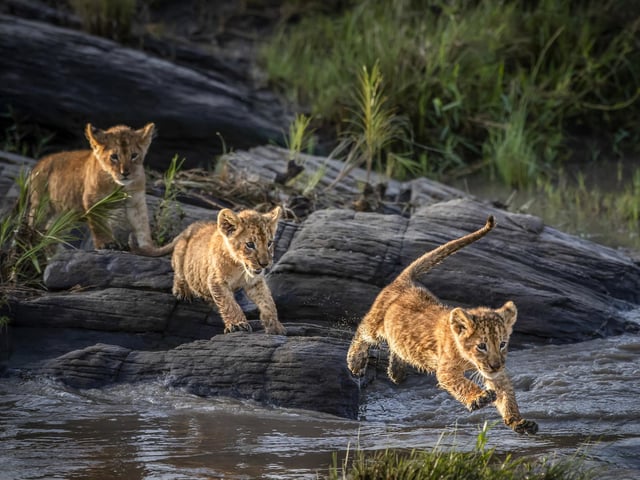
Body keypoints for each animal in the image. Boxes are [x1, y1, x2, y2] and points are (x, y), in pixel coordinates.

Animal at [28, 122, 158, 253]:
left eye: (134, 155)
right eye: (114, 156)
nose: (125, 173)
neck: (119, 186)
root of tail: (40, 162)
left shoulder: (136, 201)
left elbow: (142, 225)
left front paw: (148, 248)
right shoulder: (93, 200)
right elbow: (100, 225)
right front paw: (107, 244)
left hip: (65, 215)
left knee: (52, 232)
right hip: (41, 206)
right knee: (34, 225)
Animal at [347, 216, 538, 434]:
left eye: (502, 344)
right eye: (481, 346)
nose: (496, 365)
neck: (468, 358)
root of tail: (404, 281)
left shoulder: (494, 374)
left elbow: (507, 395)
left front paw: (519, 422)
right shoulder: (446, 370)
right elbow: (462, 384)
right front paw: (479, 398)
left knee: (396, 347)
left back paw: (397, 373)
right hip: (375, 323)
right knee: (362, 331)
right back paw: (356, 362)